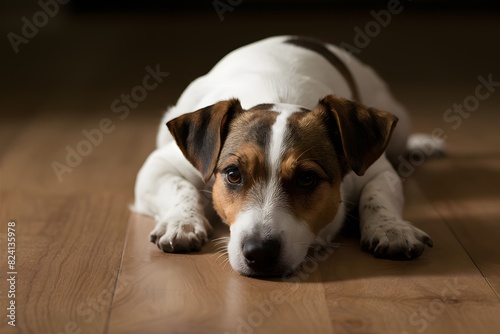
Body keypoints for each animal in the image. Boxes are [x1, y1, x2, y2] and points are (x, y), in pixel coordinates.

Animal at [133, 36, 434, 276]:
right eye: (233, 174)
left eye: (307, 178)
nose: (259, 252)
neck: (278, 97)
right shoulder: (159, 165)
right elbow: (180, 187)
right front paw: (183, 223)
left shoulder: (376, 170)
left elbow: (376, 196)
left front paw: (391, 228)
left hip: (398, 124)